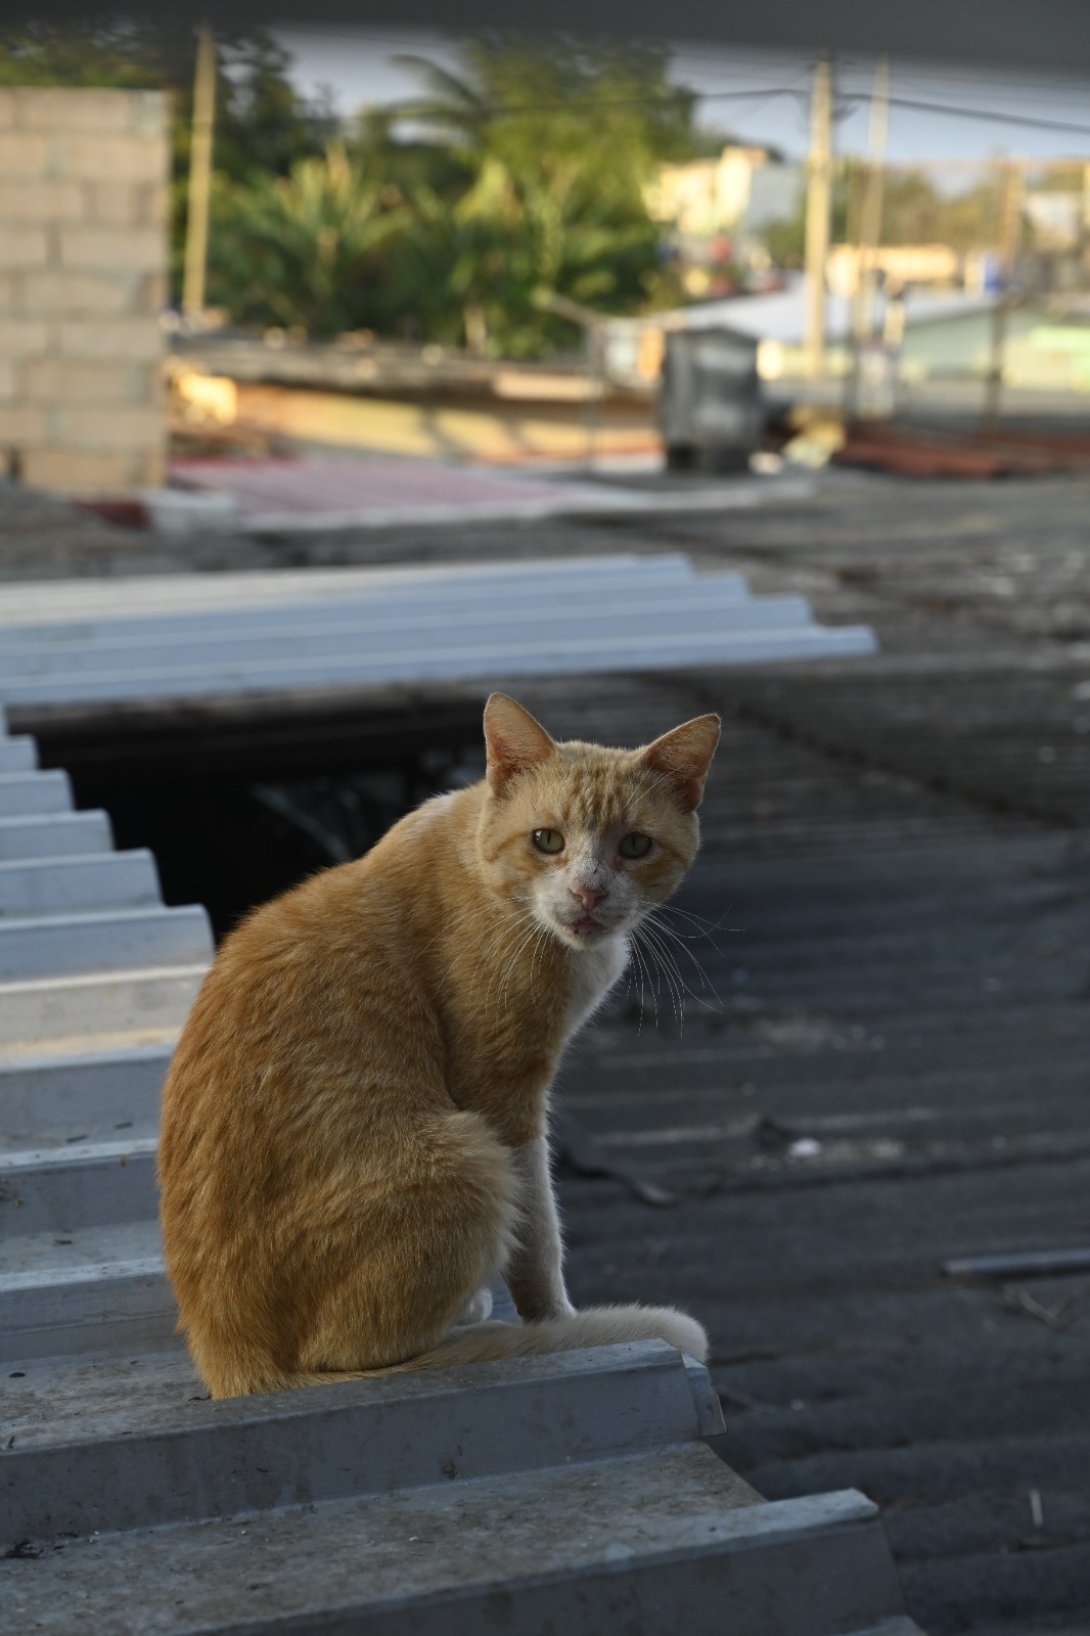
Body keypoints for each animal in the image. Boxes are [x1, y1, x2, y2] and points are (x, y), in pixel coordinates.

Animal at [157, 690, 716, 1393]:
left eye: (636, 846)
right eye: (547, 840)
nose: (588, 892)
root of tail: (233, 1362)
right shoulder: (503, 1096)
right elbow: (538, 1235)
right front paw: (556, 1322)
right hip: (466, 1158)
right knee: (350, 1352)